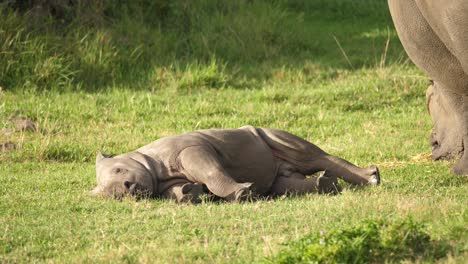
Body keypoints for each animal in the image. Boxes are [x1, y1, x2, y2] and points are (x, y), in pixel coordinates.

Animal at [91, 126, 380, 202]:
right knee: (282, 183)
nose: (126, 188)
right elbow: (176, 191)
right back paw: (326, 186)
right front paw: (190, 194)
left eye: (119, 170)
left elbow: (210, 171)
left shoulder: (192, 149)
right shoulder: (163, 182)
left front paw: (242, 193)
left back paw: (373, 178)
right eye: (109, 193)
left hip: (264, 134)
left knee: (307, 155)